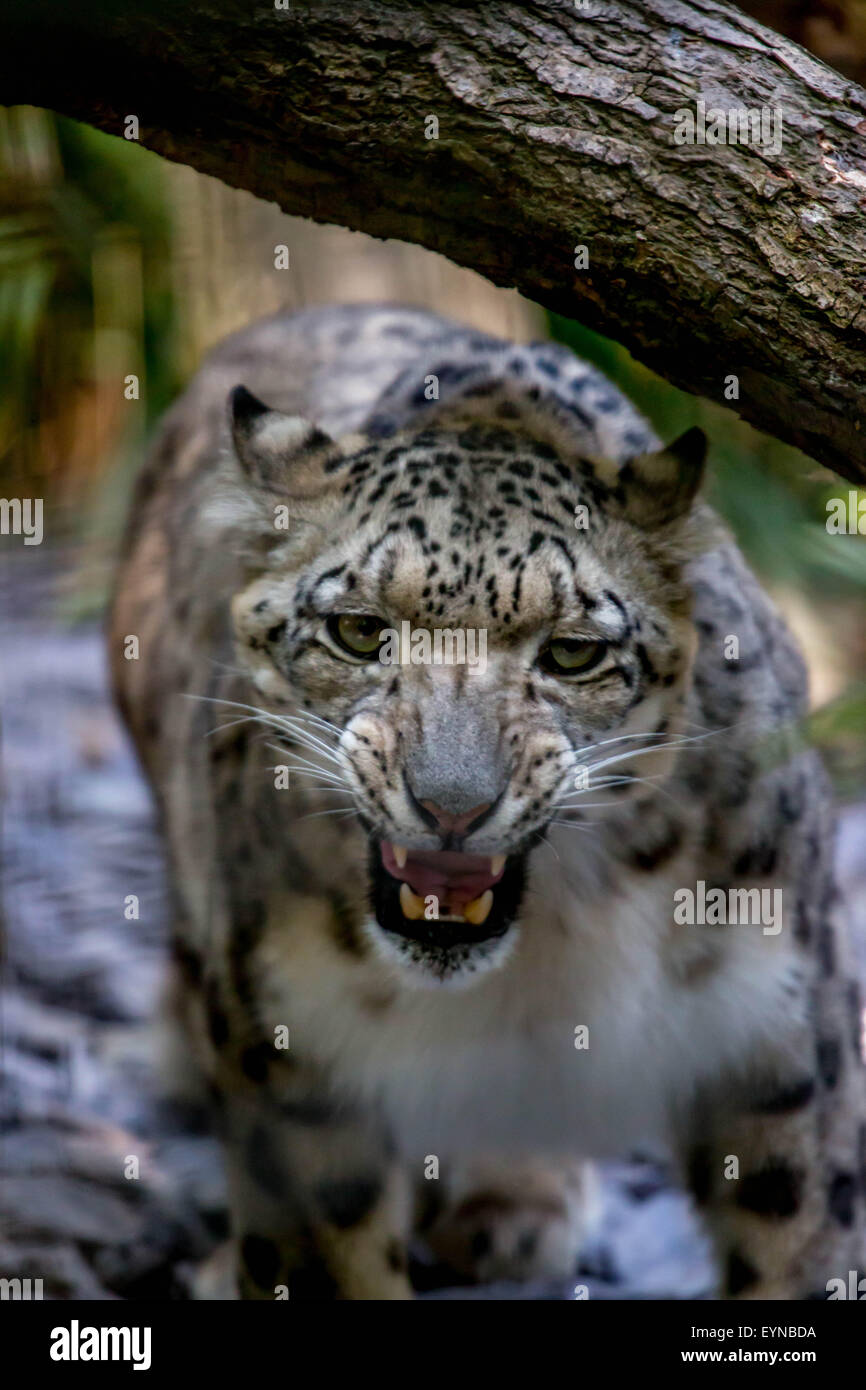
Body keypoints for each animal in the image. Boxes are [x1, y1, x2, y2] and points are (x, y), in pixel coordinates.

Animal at [109, 298, 866, 1295]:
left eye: (574, 651)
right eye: (359, 632)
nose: (453, 805)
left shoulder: (779, 1034)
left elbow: (801, 1231)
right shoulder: (294, 1065)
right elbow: (332, 1248)